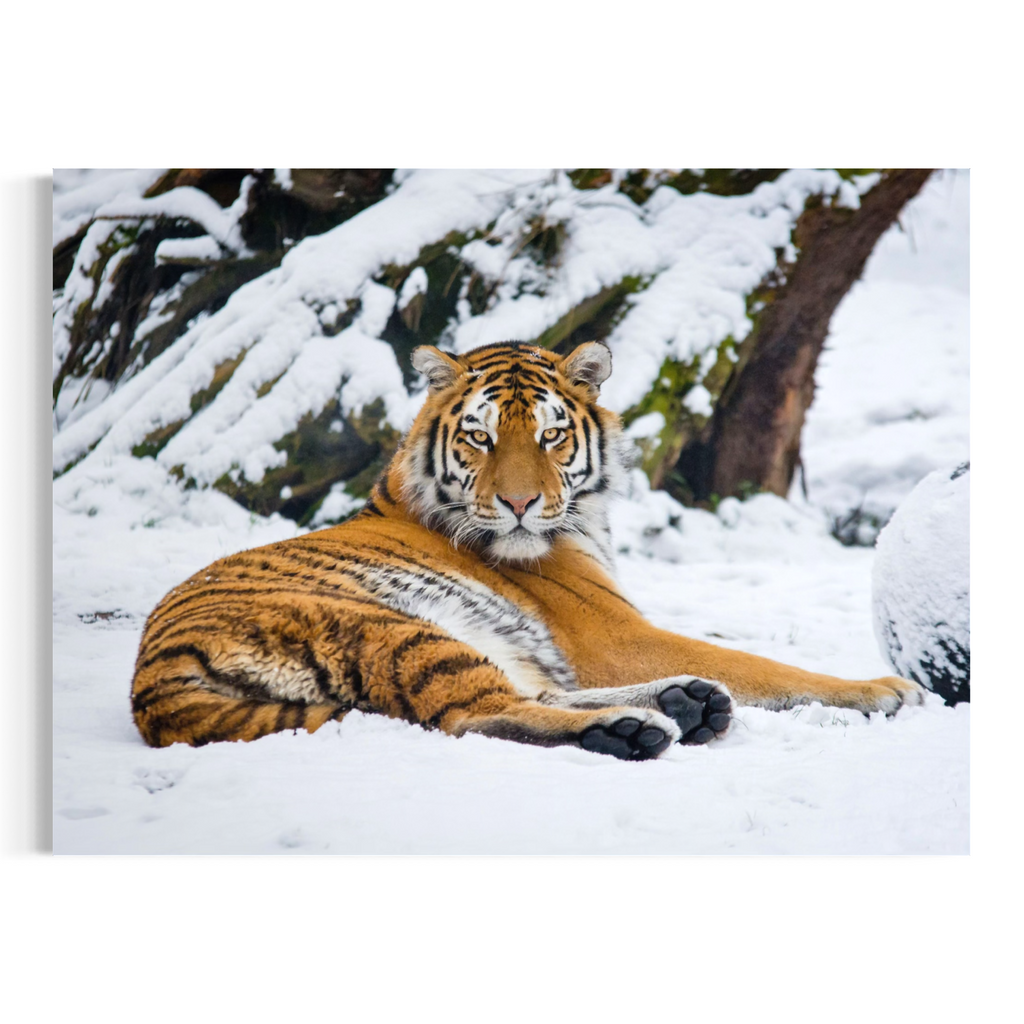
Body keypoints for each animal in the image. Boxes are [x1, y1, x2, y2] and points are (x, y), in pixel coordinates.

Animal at [131, 340, 924, 760]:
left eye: (550, 435)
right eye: (480, 437)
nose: (518, 504)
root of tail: (154, 689)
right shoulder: (617, 634)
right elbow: (766, 665)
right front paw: (883, 689)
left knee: (525, 691)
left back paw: (687, 703)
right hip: (392, 627)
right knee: (473, 714)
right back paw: (634, 726)